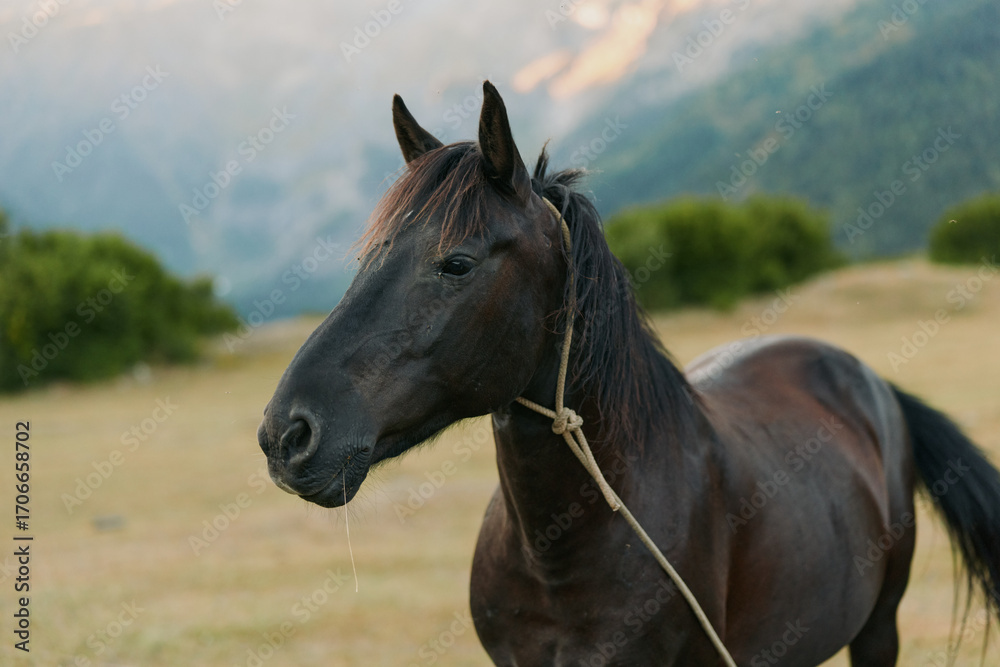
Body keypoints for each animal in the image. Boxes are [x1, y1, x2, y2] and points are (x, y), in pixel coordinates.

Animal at [257, 81, 1000, 665]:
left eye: (457, 263)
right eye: (369, 256)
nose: (286, 434)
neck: (561, 552)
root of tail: (866, 379)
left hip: (879, 627)